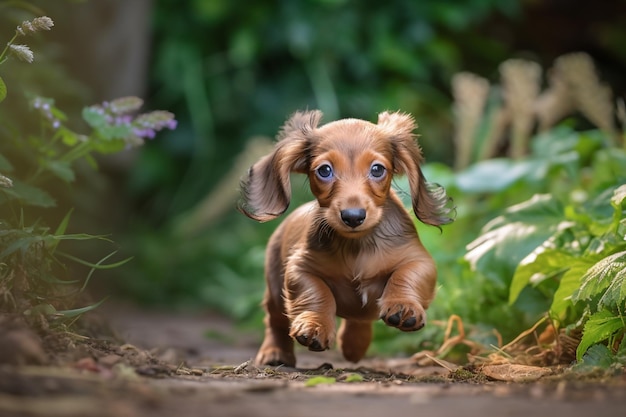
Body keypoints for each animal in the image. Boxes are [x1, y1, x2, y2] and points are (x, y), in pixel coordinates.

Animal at [238, 109, 448, 366]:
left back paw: (354, 345)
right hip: (275, 286)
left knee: (359, 319)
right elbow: (316, 292)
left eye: (377, 169)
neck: (358, 245)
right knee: (275, 321)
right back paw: (275, 352)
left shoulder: (418, 259)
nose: (353, 216)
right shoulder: (300, 268)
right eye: (324, 170)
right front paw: (315, 325)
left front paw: (404, 306)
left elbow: (406, 274)